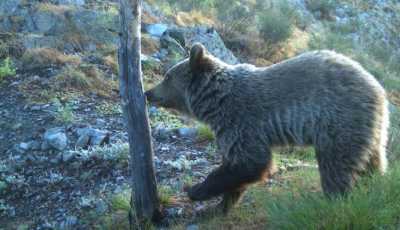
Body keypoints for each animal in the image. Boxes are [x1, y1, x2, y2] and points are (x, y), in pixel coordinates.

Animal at [145, 42, 390, 212]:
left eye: (167, 77)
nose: (148, 93)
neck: (215, 102)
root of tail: (378, 89)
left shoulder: (241, 121)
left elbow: (251, 162)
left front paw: (196, 190)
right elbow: (238, 167)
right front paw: (220, 205)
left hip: (338, 120)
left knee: (335, 166)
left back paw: (334, 200)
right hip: (370, 129)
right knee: (372, 161)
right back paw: (374, 187)